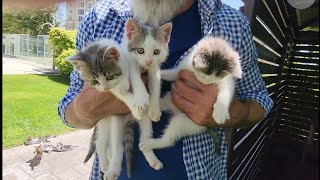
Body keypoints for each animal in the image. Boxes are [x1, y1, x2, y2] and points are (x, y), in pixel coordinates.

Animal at [67, 17, 172, 179]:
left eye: (156, 52)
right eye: (140, 50)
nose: (148, 61)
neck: (143, 67)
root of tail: (129, 119)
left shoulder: (154, 71)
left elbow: (155, 86)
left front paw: (154, 109)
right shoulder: (128, 66)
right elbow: (132, 82)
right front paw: (139, 99)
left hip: (143, 123)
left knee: (143, 139)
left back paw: (151, 157)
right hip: (113, 121)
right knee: (111, 146)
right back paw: (111, 168)